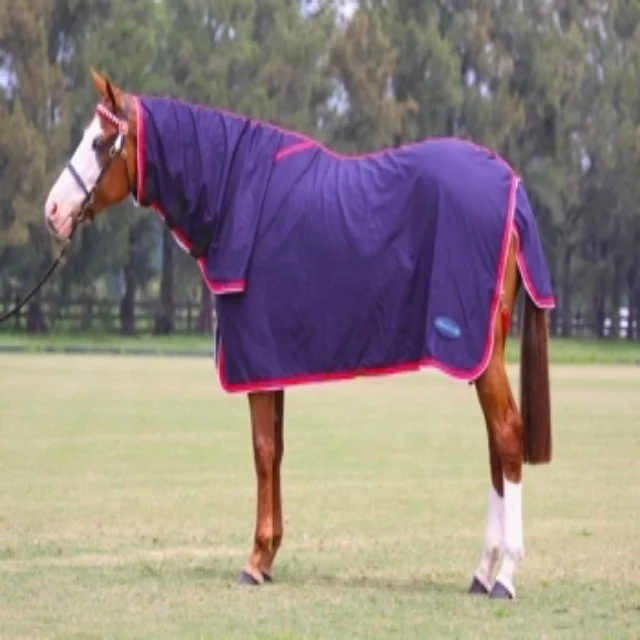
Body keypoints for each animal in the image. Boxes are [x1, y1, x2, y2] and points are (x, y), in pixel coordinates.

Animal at [43, 69, 555, 600]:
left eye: (99, 142)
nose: (52, 210)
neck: (235, 194)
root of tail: (511, 184)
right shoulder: (272, 364)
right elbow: (277, 450)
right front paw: (269, 556)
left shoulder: (256, 362)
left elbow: (263, 451)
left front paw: (255, 560)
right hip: (482, 353)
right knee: (496, 446)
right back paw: (483, 571)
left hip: (479, 353)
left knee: (507, 435)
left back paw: (506, 575)